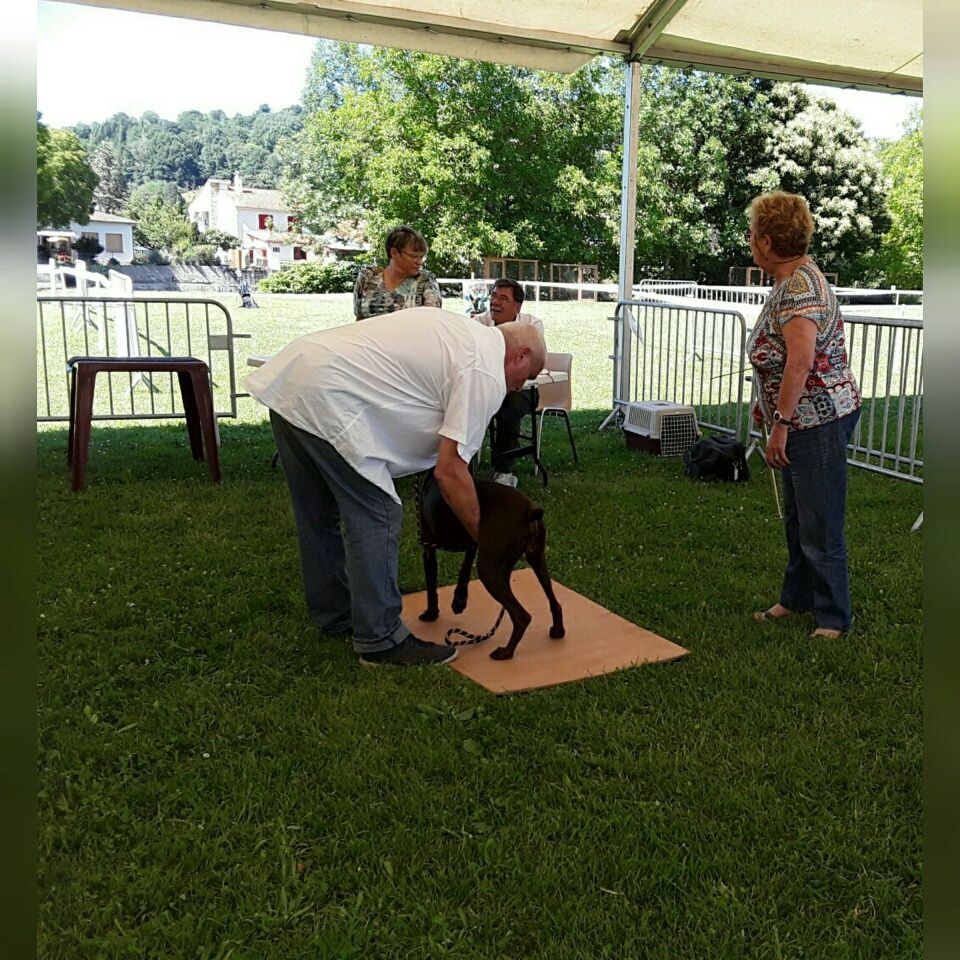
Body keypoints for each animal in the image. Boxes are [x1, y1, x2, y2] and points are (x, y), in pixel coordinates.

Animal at [416, 470, 568, 660]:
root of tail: (530, 512)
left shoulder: (428, 546)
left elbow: (431, 587)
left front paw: (431, 613)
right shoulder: (473, 543)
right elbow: (464, 570)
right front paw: (459, 602)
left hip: (489, 570)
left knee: (522, 617)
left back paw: (506, 652)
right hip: (536, 560)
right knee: (554, 602)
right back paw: (557, 631)